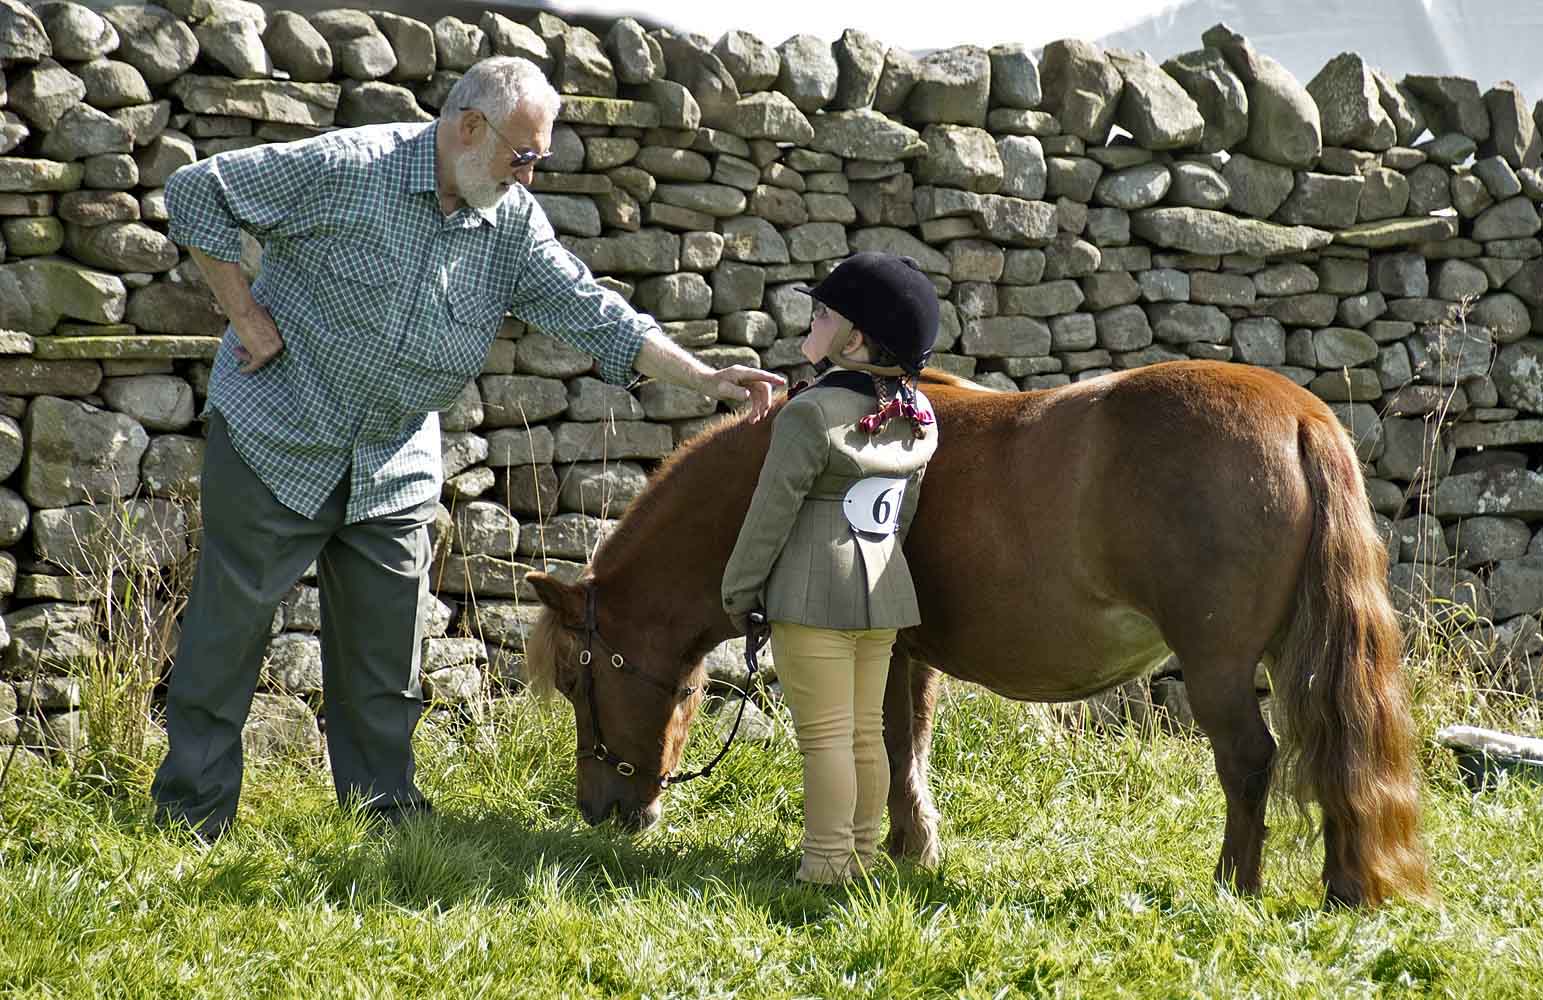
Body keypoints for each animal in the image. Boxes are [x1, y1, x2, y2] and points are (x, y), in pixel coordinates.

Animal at [524, 359, 1425, 907]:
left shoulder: (882, 649)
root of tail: (1298, 416)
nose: (600, 808)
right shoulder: (911, 651)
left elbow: (889, 742)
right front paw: (911, 843)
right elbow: (909, 742)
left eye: (576, 679)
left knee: (1251, 761)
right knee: (1332, 748)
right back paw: (1343, 884)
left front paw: (897, 846)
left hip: (1217, 665)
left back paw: (1232, 884)